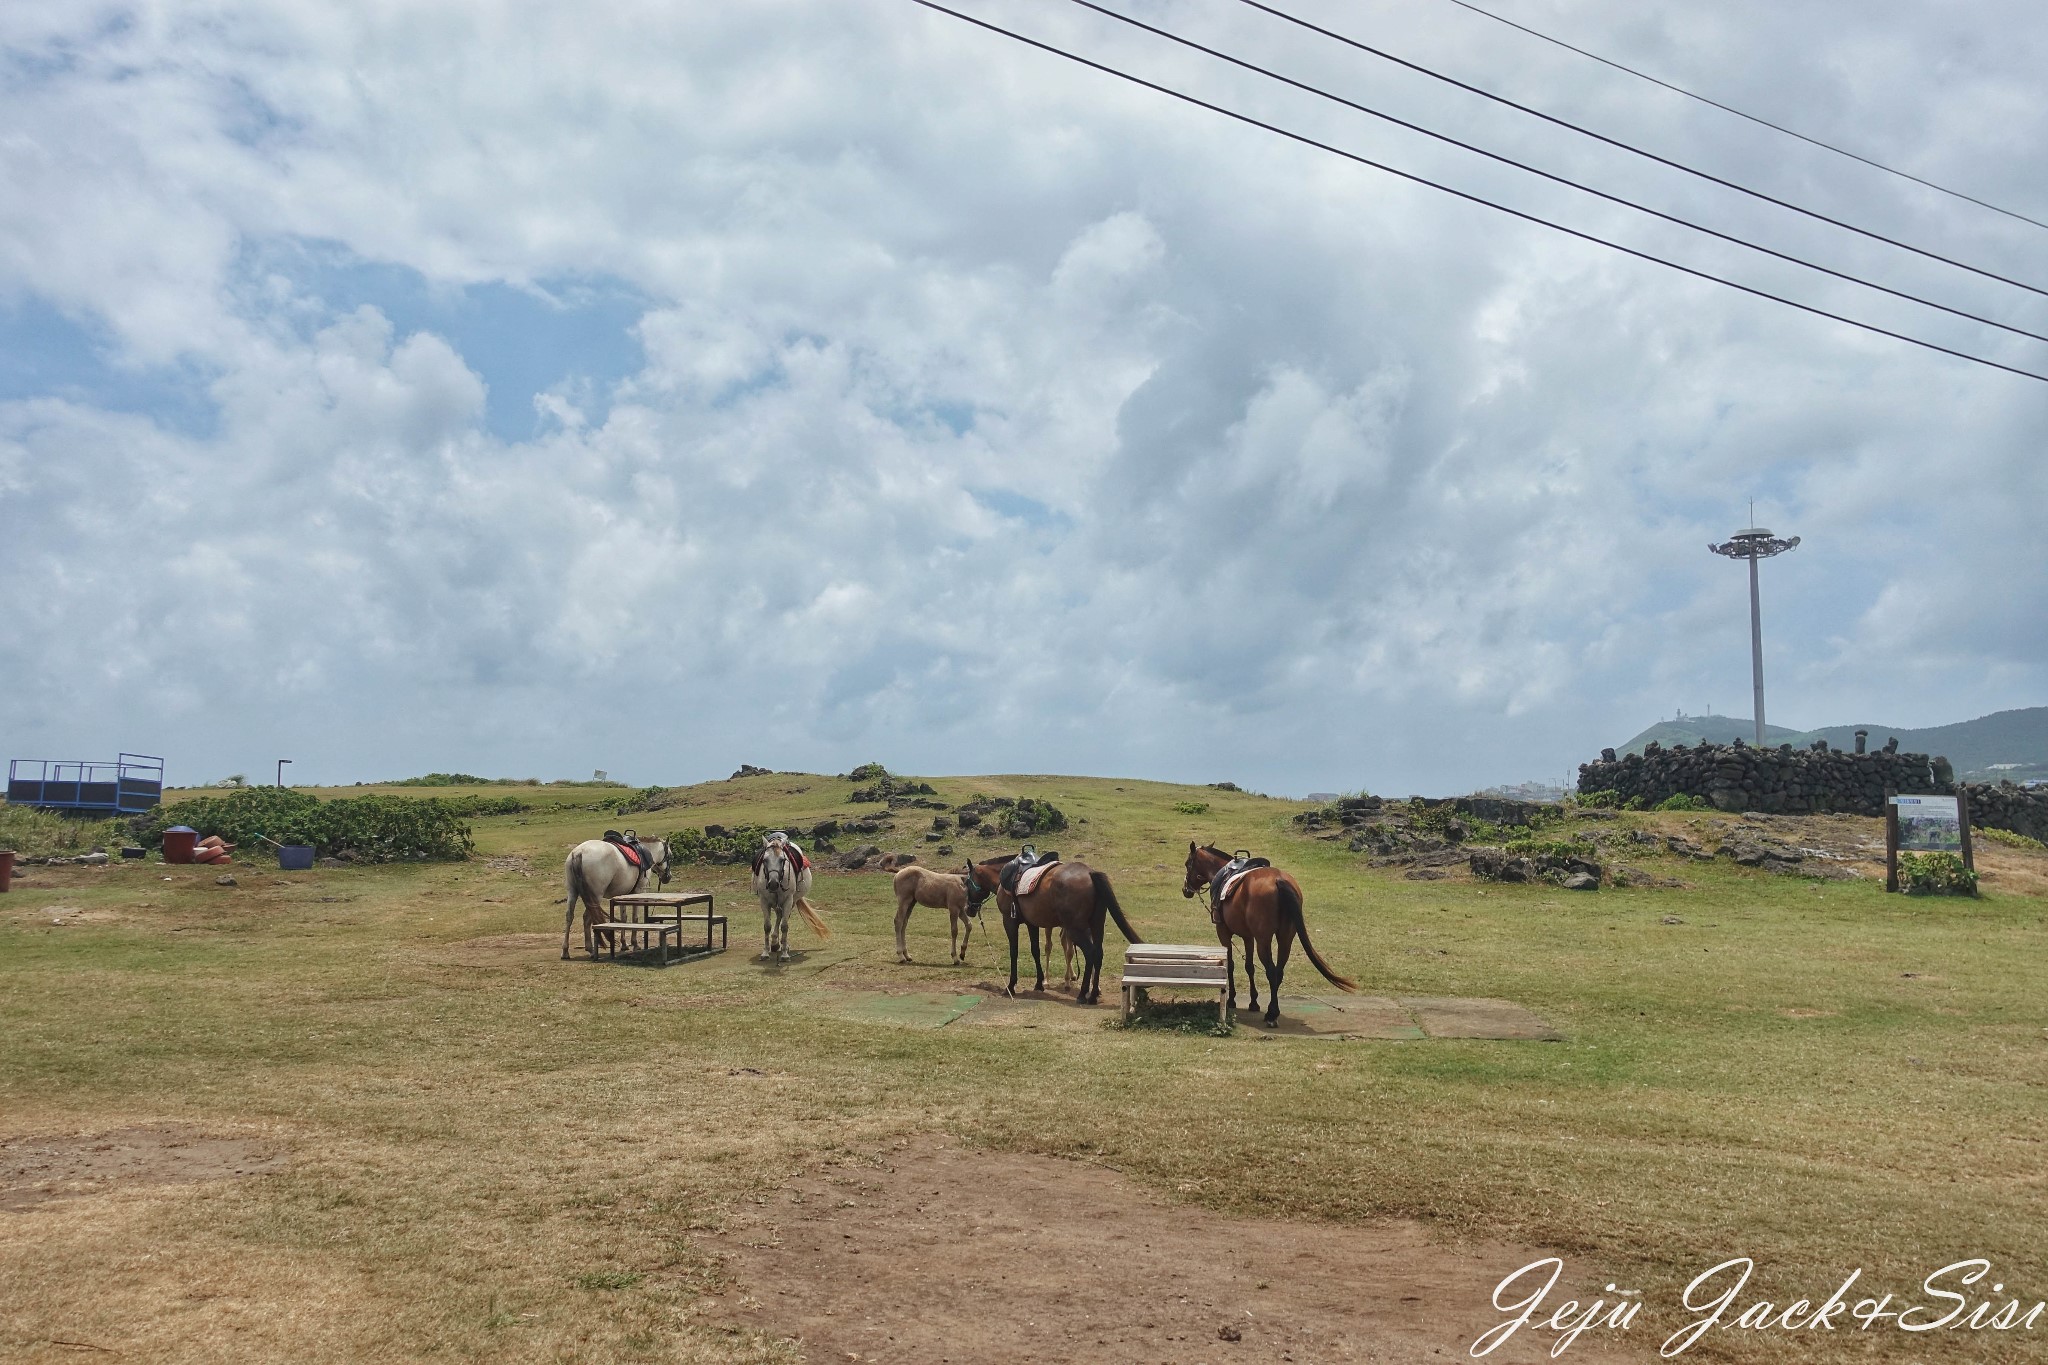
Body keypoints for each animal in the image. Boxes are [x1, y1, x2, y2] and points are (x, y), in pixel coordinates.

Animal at [966, 855, 1146, 1002]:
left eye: (967, 883)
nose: (969, 909)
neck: (1005, 879)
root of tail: (1090, 873)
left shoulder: (1009, 922)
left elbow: (1014, 951)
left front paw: (1010, 986)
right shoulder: (1032, 923)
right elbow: (1035, 950)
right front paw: (1039, 983)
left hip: (1076, 929)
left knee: (1090, 953)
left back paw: (1083, 994)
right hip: (1096, 924)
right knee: (1099, 954)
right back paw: (1093, 994)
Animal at [1187, 843, 1359, 1023]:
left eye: (1187, 864)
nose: (1186, 890)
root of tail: (1279, 880)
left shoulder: (1224, 933)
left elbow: (1232, 966)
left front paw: (1232, 999)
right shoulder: (1248, 936)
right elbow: (1249, 966)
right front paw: (1253, 1001)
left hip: (1263, 940)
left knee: (1271, 970)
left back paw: (1272, 1013)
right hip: (1285, 938)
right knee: (1279, 971)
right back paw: (1272, 1009)